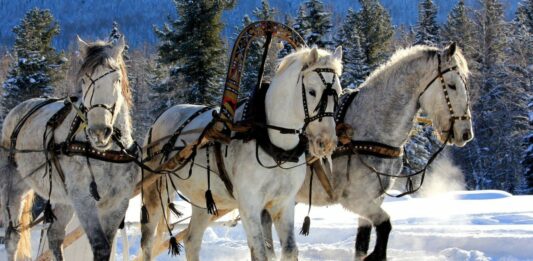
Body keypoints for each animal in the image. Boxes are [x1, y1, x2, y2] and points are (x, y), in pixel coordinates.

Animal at [0, 35, 137, 258]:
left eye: (116, 79)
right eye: (84, 80)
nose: (99, 131)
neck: (106, 153)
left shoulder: (118, 202)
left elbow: (107, 247)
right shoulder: (83, 200)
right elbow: (100, 247)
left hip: (62, 199)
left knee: (54, 236)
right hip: (13, 187)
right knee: (12, 238)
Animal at [139, 45, 342, 258]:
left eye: (338, 91)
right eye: (312, 91)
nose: (327, 142)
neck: (272, 144)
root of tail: (161, 117)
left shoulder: (283, 204)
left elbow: (289, 249)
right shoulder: (249, 205)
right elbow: (260, 251)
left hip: (202, 200)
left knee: (191, 240)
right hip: (156, 190)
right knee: (147, 241)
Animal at [262, 43, 474, 260]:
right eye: (452, 85)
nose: (465, 133)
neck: (369, 129)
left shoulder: (374, 199)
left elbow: (362, 243)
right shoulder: (355, 199)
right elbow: (385, 225)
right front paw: (376, 254)